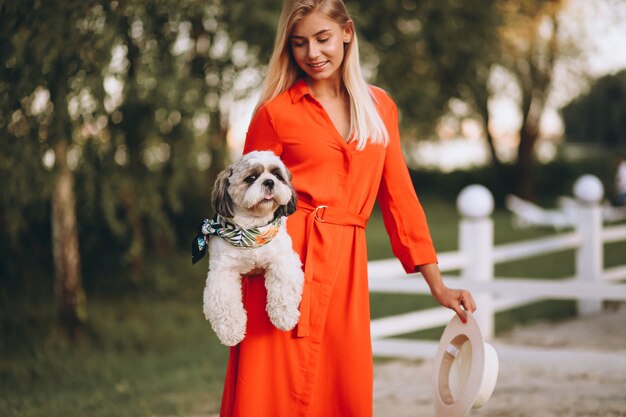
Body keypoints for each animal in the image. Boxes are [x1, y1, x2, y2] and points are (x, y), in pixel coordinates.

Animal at [193, 150, 304, 344]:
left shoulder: (283, 259)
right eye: (251, 178)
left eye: (277, 175)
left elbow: (283, 286)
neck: (252, 231)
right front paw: (231, 331)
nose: (269, 182)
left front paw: (284, 316)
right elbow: (225, 303)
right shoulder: (222, 271)